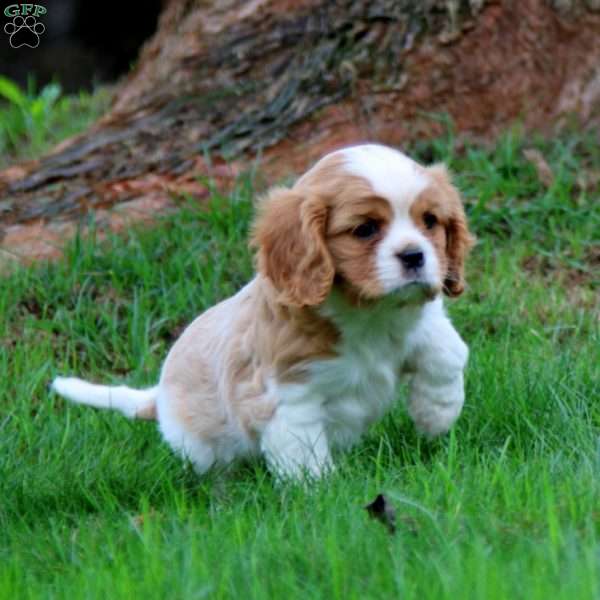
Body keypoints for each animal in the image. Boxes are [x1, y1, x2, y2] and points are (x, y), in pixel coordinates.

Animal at [51, 146, 474, 482]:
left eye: (430, 221)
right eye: (365, 229)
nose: (414, 255)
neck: (369, 315)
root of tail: (159, 399)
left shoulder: (422, 324)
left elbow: (445, 349)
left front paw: (437, 414)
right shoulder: (288, 394)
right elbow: (304, 451)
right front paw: (323, 494)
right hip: (204, 448)